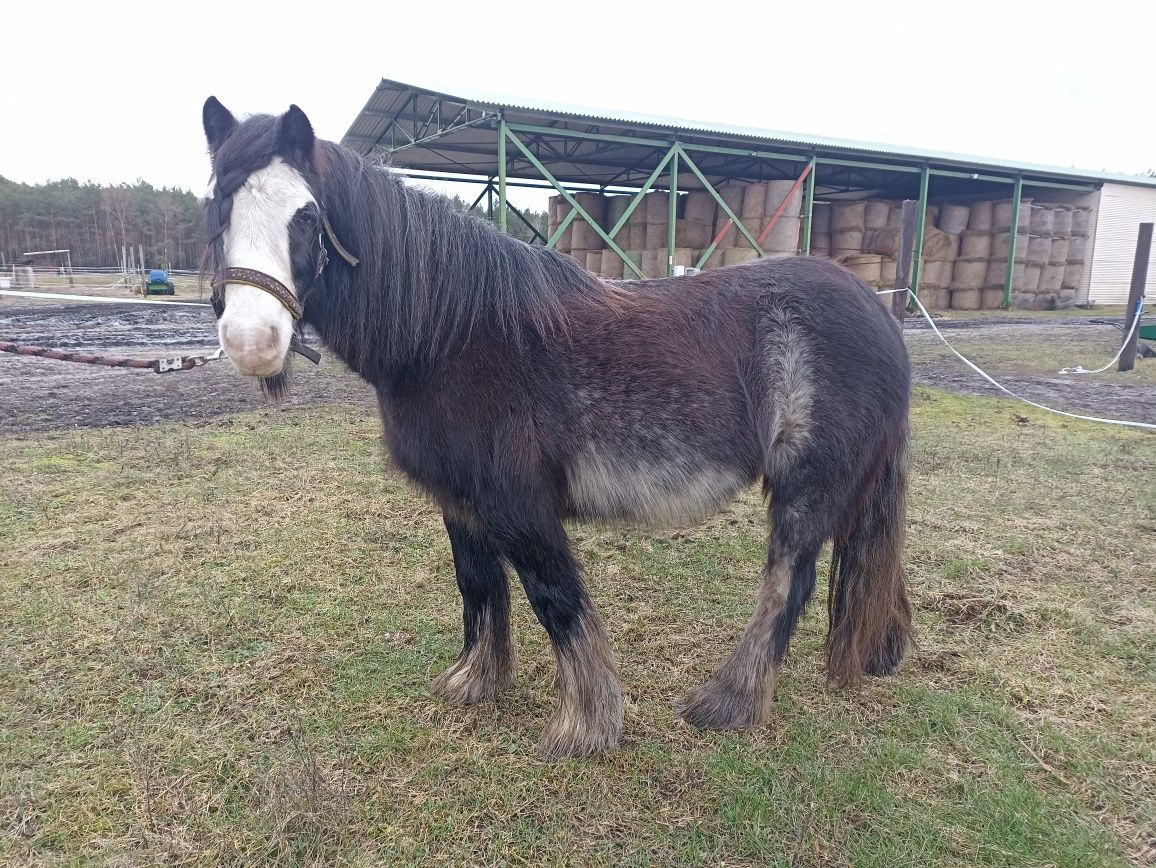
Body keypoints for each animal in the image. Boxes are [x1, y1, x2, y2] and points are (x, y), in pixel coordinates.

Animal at [203, 98, 915, 758]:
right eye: (219, 207)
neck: (453, 334)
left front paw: (585, 726)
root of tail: (878, 313)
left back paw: (727, 703)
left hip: (807, 487)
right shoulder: (461, 502)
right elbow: (478, 585)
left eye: (306, 216)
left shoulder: (519, 505)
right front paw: (476, 683)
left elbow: (556, 599)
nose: (251, 341)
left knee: (786, 583)